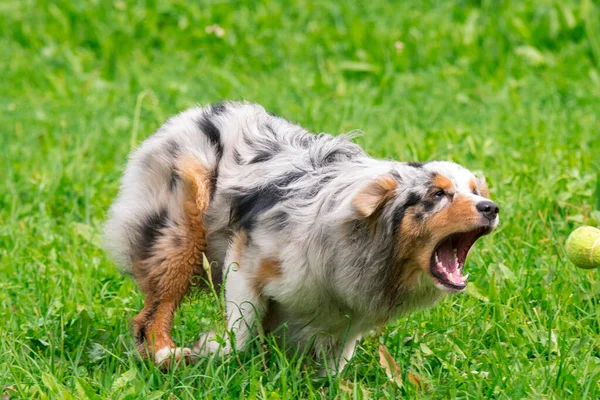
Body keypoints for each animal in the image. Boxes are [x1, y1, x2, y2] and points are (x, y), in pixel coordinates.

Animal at [103, 101, 496, 372]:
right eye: (437, 194)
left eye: (474, 190)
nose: (491, 207)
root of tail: (190, 114)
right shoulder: (247, 261)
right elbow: (241, 334)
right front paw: (214, 352)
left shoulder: (351, 314)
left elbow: (334, 364)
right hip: (180, 236)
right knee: (153, 312)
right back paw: (165, 353)